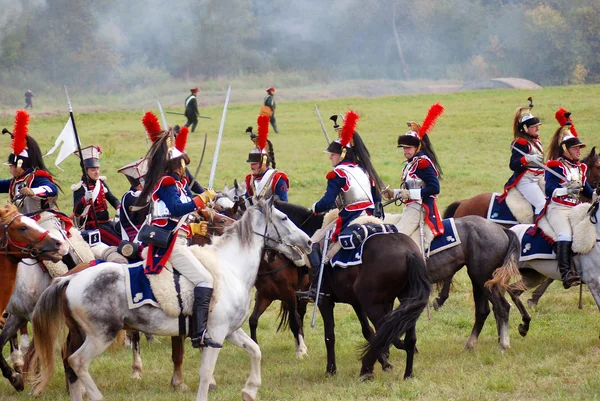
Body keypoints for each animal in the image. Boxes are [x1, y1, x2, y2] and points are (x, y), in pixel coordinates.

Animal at [27, 200, 310, 400]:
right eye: (284, 217)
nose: (308, 241)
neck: (229, 267)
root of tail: (71, 279)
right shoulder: (216, 334)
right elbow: (206, 373)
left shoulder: (230, 331)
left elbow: (255, 351)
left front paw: (250, 390)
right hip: (101, 335)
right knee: (78, 362)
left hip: (81, 334)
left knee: (70, 364)